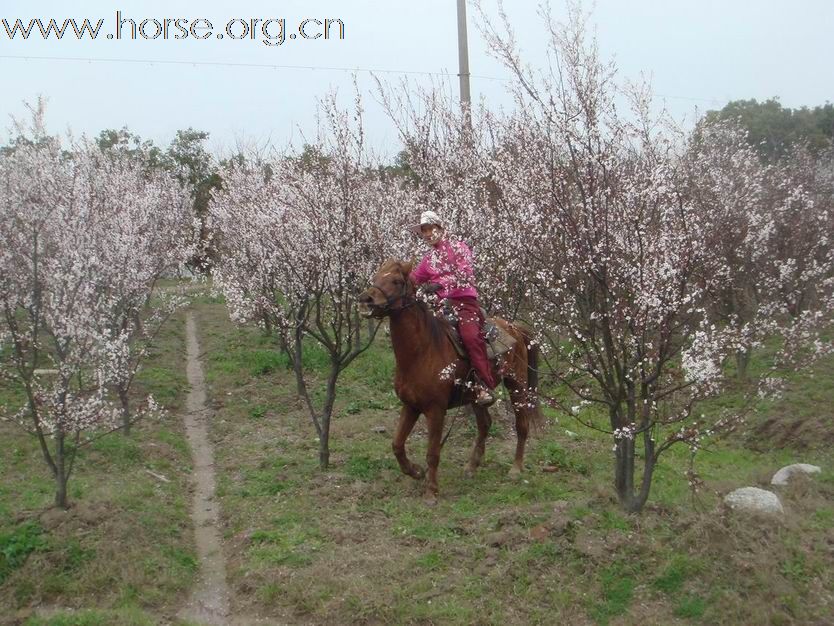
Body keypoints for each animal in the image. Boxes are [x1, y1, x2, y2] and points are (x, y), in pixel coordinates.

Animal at [356, 258, 540, 502]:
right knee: (484, 424)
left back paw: (516, 468)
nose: (365, 300)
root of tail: (514, 327)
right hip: (475, 395)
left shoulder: (435, 410)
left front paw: (431, 491)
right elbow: (397, 444)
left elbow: (433, 452)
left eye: (396, 281)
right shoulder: (410, 406)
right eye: (376, 277)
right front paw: (415, 471)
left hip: (516, 384)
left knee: (521, 425)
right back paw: (471, 466)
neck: (421, 351)